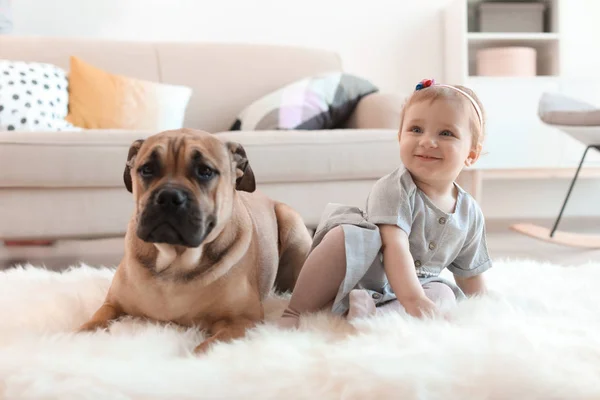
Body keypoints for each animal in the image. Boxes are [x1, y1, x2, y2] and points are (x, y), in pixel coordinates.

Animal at [77, 129, 312, 354]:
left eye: (205, 171)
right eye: (147, 169)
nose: (169, 196)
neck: (175, 260)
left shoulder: (242, 321)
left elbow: (205, 348)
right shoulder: (112, 304)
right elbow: (91, 324)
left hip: (292, 226)